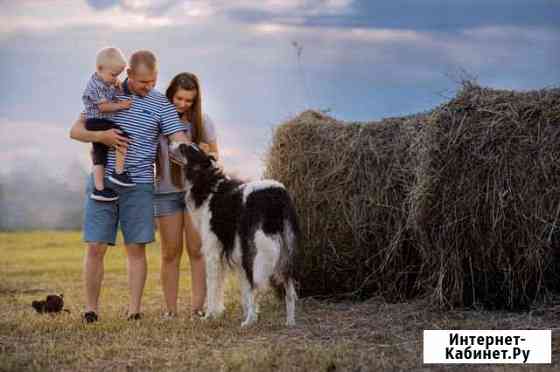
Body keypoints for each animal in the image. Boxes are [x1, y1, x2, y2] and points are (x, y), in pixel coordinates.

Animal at [175, 142, 300, 326]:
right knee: (289, 290)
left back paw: (249, 322)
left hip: (259, 252)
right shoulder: (236, 254)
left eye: (183, 148)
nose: (170, 143)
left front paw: (209, 315)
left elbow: (213, 286)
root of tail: (277, 193)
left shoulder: (213, 252)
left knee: (256, 285)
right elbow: (241, 291)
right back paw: (289, 322)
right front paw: (228, 312)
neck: (208, 184)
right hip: (285, 251)